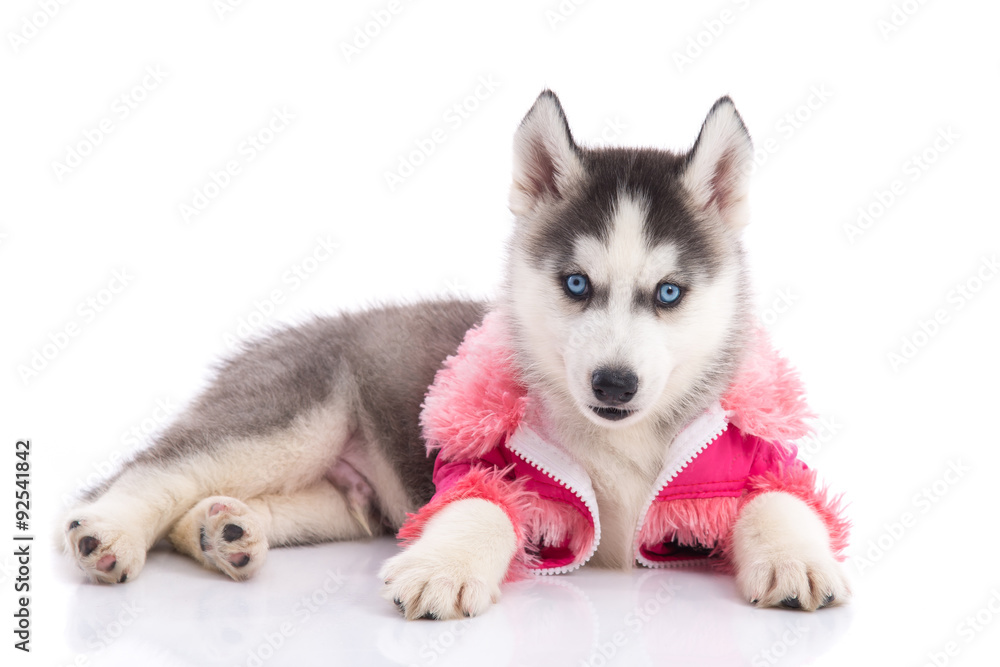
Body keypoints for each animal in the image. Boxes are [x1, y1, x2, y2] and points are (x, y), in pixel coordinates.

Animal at [62, 91, 848, 620]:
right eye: (576, 284)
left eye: (669, 292)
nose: (614, 383)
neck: (624, 438)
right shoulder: (487, 459)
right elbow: (481, 509)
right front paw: (443, 569)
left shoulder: (749, 449)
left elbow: (781, 498)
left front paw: (798, 557)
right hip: (288, 418)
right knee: (157, 469)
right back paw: (109, 531)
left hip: (346, 502)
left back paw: (223, 531)